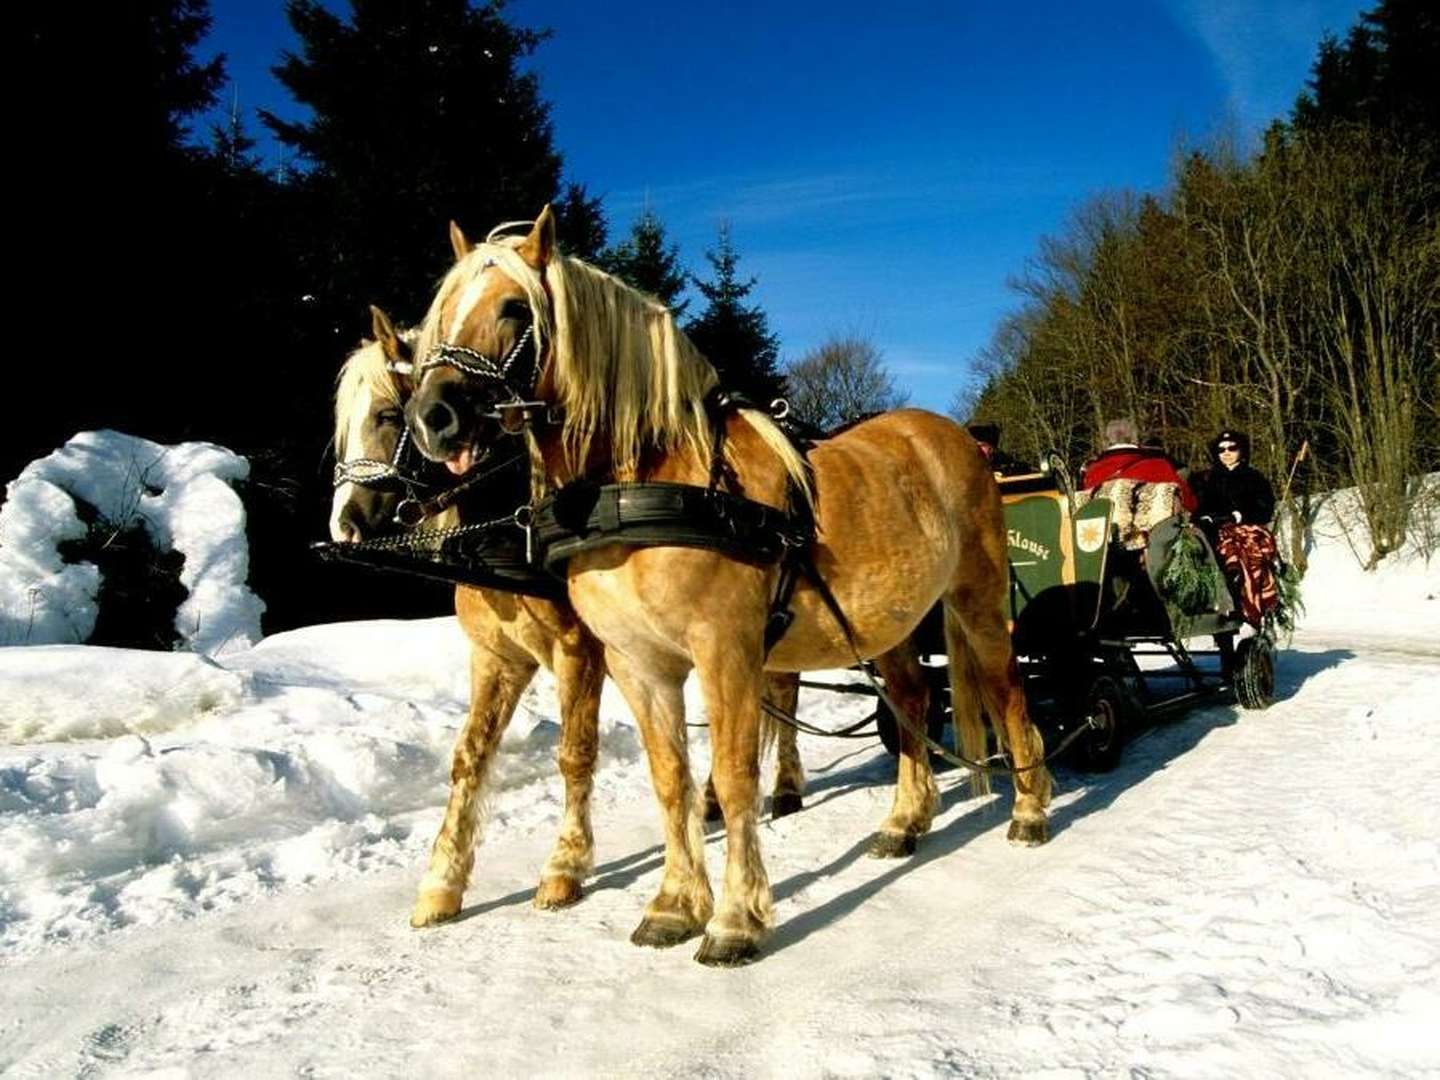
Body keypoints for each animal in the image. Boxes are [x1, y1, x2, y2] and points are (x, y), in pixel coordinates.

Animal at [331, 296, 817, 933]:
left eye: (388, 415)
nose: (343, 524)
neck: (513, 532)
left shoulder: (578, 648)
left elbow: (575, 752)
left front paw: (564, 866)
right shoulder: (497, 658)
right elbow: (469, 758)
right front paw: (441, 883)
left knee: (780, 693)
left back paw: (785, 787)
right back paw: (715, 796)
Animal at [400, 207, 1054, 967]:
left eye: (513, 308)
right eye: (441, 314)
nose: (433, 417)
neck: (640, 483)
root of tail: (956, 437)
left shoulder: (726, 650)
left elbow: (736, 774)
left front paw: (736, 918)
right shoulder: (636, 663)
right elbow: (671, 779)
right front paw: (674, 905)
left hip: (976, 598)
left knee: (1007, 689)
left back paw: (1031, 807)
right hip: (888, 621)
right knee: (913, 701)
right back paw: (905, 820)